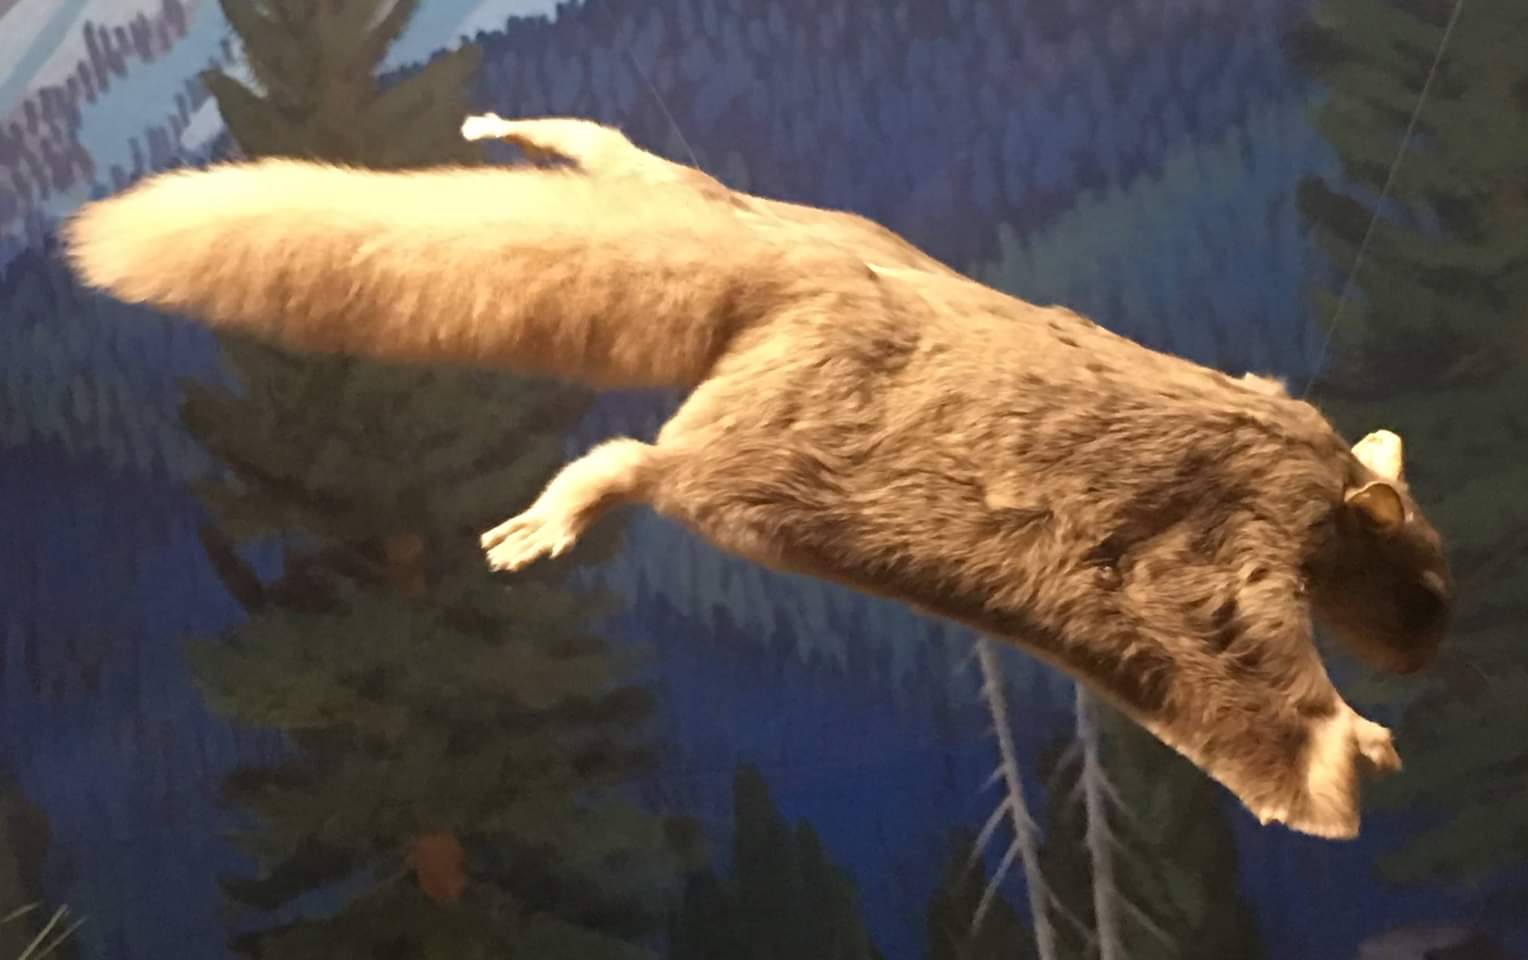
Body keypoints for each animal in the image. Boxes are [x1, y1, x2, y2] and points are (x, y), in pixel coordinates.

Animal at [62, 113, 1454, 840]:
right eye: (1422, 584)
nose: (1432, 652)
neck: (1309, 471)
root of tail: (777, 268)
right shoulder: (1224, 556)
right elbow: (1258, 672)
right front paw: (1357, 751)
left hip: (693, 199)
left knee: (613, 154)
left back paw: (515, 131)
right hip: (753, 460)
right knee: (635, 459)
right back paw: (541, 525)